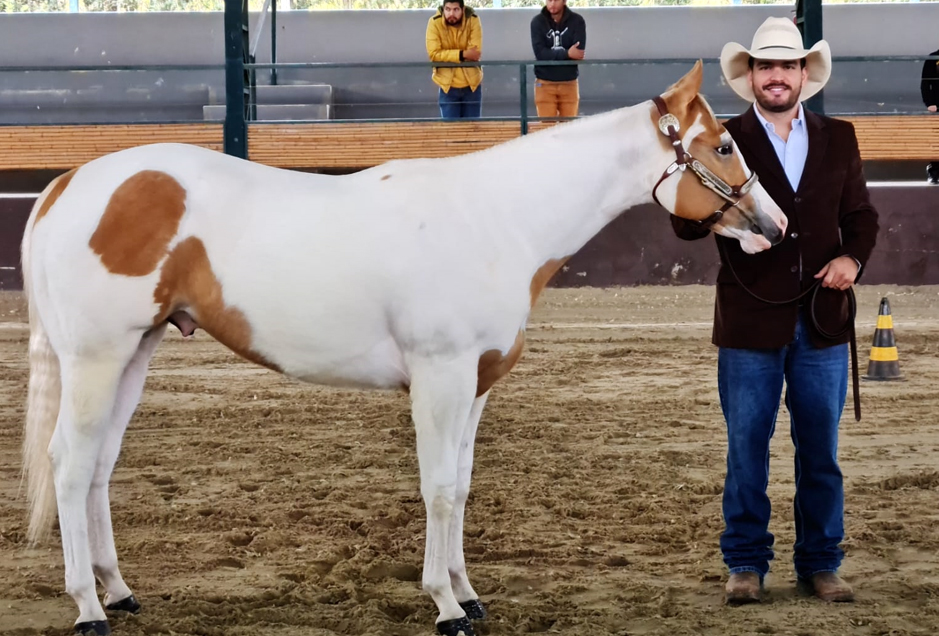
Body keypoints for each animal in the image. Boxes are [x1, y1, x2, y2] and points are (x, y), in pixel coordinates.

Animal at [19, 60, 786, 636]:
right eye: (724, 145)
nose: (774, 225)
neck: (497, 217)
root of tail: (68, 183)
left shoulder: (475, 384)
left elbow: (463, 486)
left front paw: (467, 592)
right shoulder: (440, 378)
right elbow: (439, 488)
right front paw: (445, 606)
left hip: (135, 354)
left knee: (99, 467)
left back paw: (119, 592)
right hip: (96, 358)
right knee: (70, 465)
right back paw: (88, 609)